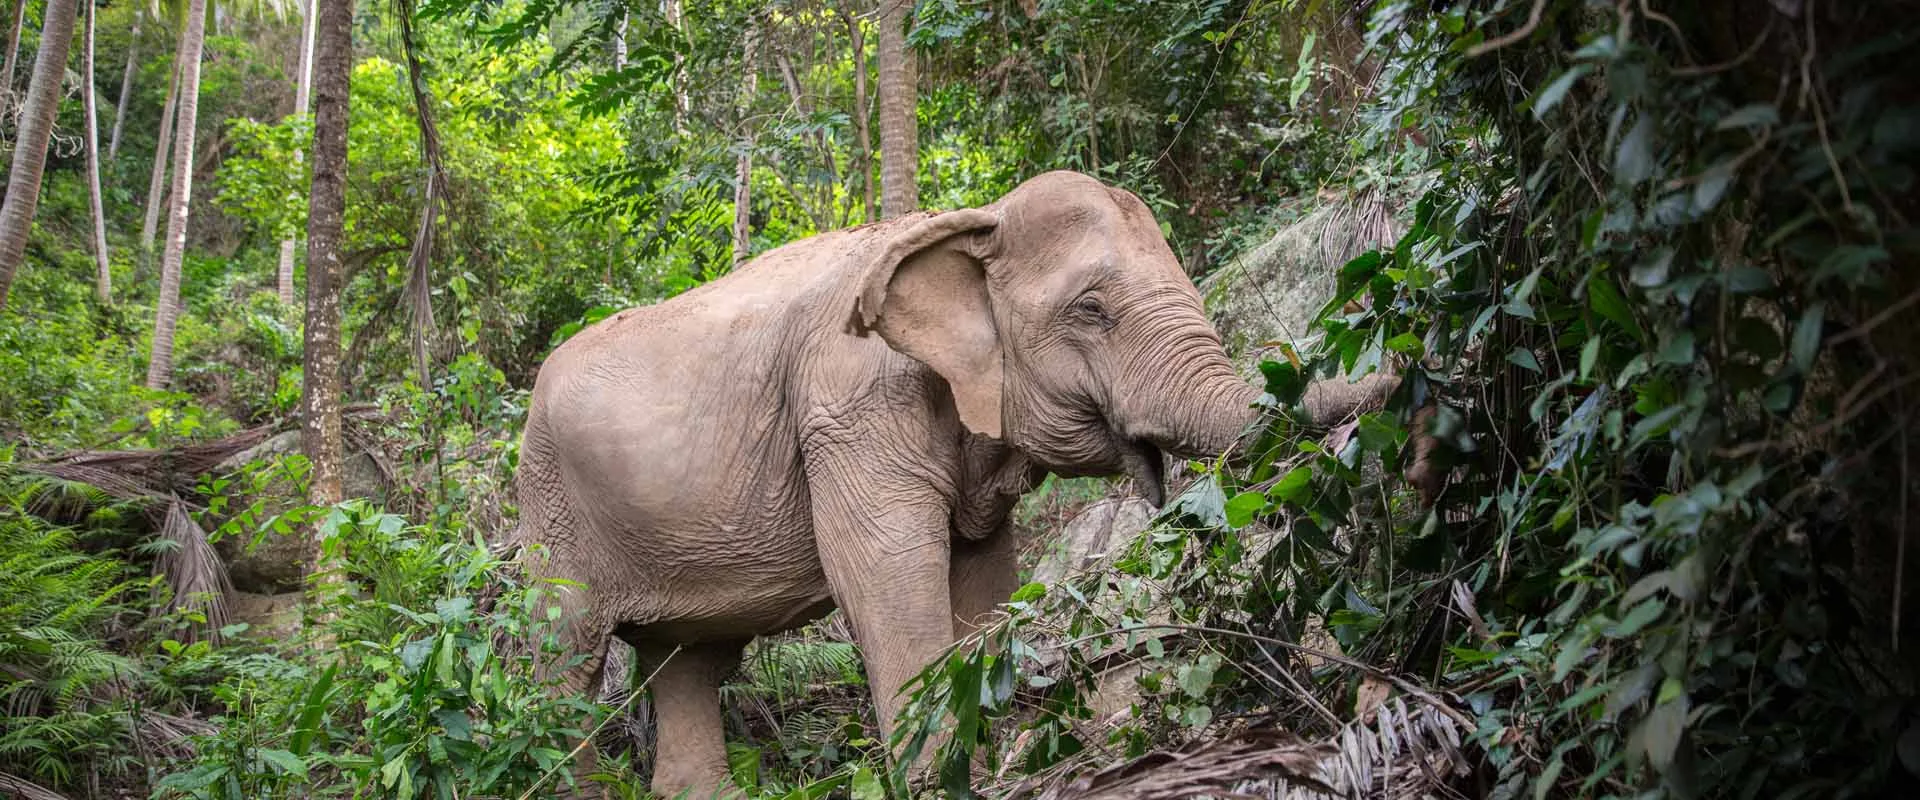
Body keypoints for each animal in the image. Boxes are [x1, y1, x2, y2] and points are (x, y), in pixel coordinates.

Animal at [512, 170, 1412, 798]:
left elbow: (982, 582)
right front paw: (935, 778)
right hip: (550, 509)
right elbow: (883, 577)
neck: (968, 222)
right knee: (566, 659)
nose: (1407, 368)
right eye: (1092, 310)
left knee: (688, 660)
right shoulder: (849, 412)